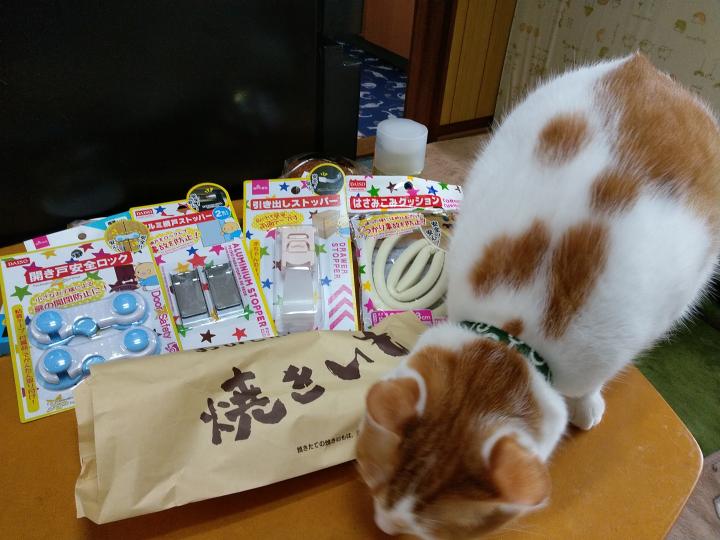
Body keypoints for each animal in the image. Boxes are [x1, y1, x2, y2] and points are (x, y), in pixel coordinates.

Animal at [356, 53, 720, 539]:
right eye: (370, 481)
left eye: (420, 533)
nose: (382, 523)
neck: (513, 341)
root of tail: (645, 69)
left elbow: (589, 386)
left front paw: (587, 406)